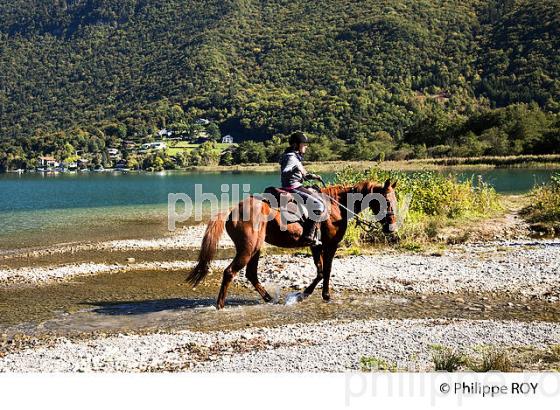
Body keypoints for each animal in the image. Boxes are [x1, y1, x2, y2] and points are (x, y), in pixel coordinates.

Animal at [187, 178, 398, 310]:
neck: (336, 206)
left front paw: (306, 294)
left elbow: (320, 271)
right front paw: (318, 295)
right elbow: (327, 270)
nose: (392, 228)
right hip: (247, 249)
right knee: (230, 272)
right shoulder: (330, 246)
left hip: (255, 249)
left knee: (251, 274)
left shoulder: (316, 245)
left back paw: (269, 299)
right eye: (386, 201)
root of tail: (232, 210)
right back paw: (220, 306)